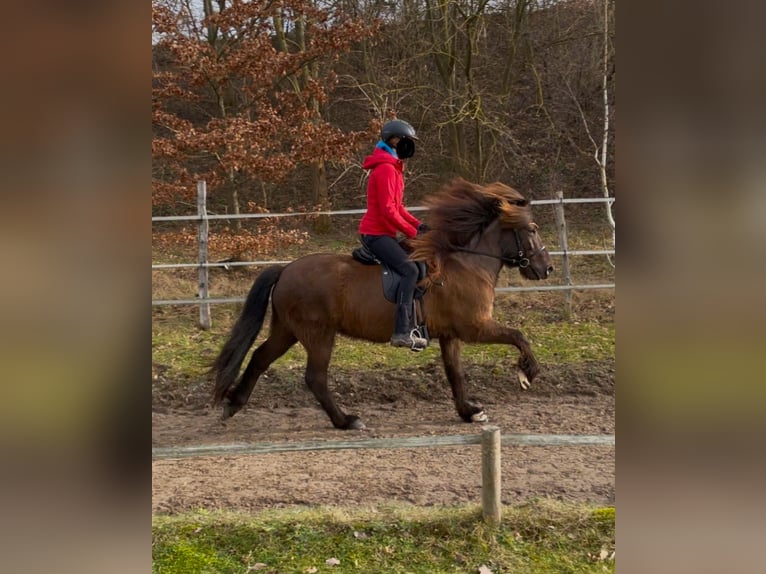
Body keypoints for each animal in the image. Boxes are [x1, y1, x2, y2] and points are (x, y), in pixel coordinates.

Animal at [210, 178, 554, 430]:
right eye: (532, 230)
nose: (547, 268)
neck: (467, 264)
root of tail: (286, 269)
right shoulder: (475, 327)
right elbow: (518, 336)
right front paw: (528, 373)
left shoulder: (451, 334)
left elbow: (455, 373)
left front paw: (469, 412)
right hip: (318, 334)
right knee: (315, 378)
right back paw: (346, 420)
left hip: (288, 330)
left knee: (259, 358)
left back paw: (233, 404)